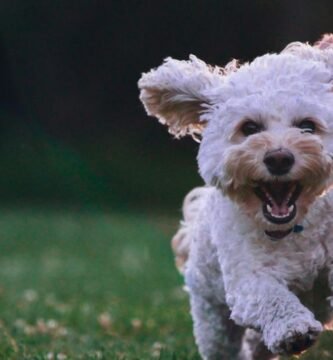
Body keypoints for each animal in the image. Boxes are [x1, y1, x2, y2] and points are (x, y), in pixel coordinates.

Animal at [139, 34, 332, 360]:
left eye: (308, 126)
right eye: (249, 128)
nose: (279, 158)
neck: (295, 228)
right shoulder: (247, 278)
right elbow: (271, 297)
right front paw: (294, 329)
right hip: (212, 318)